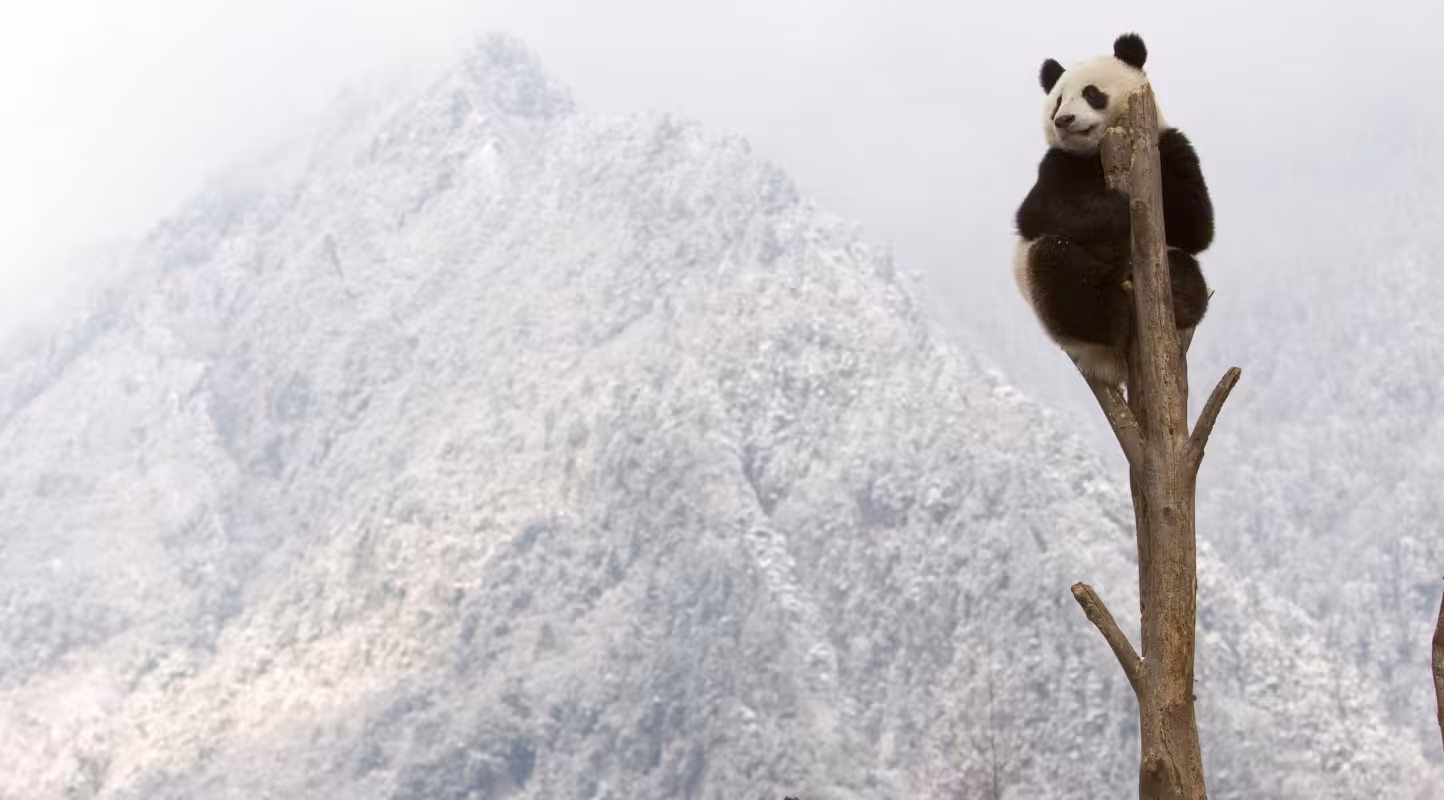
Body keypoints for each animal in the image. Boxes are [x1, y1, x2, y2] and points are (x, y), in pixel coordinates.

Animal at [1012, 32, 1214, 386]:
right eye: (1058, 102)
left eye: (1091, 93)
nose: (1064, 120)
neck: (1098, 151)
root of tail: (1111, 366)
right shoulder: (1058, 164)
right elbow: (1038, 213)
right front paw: (1118, 208)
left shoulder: (1169, 144)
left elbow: (1196, 227)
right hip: (1048, 301)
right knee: (1056, 267)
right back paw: (1112, 316)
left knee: (1186, 269)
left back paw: (1178, 293)